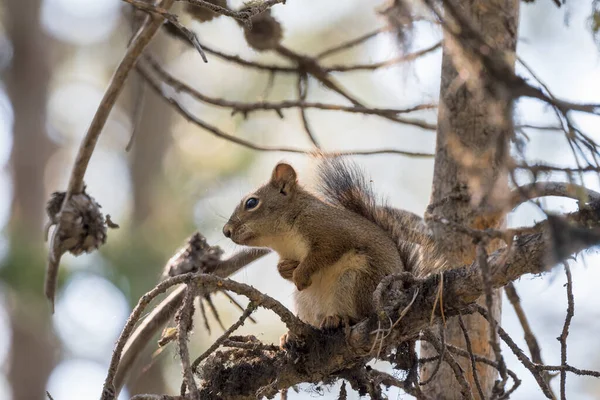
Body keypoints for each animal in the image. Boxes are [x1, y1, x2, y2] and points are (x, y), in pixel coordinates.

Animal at [223, 155, 442, 342]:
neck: (283, 239)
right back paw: (292, 335)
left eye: (252, 202)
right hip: (306, 302)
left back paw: (341, 319)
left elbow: (324, 254)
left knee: (362, 314)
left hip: (357, 282)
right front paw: (285, 269)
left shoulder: (331, 232)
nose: (226, 231)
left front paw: (300, 274)